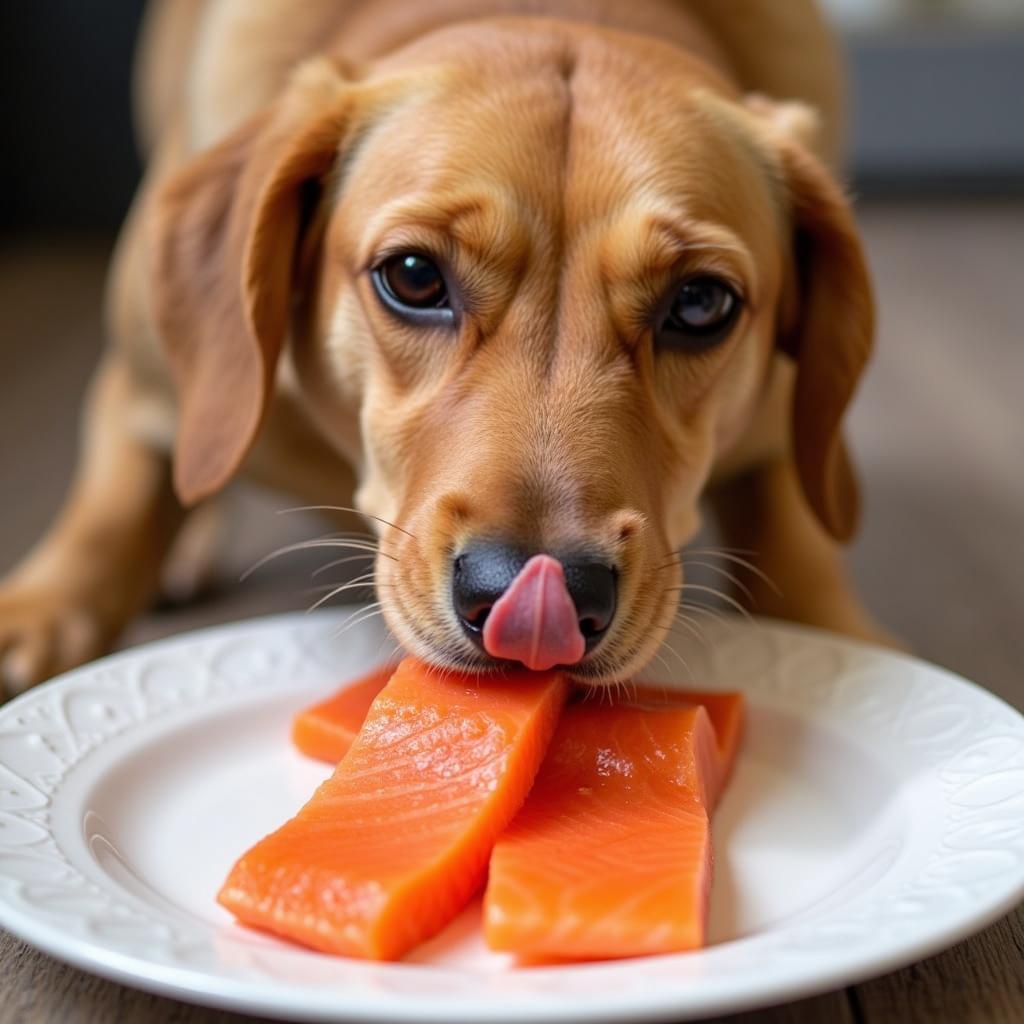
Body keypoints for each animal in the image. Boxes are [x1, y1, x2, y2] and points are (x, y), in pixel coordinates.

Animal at [0, 0, 888, 692]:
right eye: (415, 276)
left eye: (701, 303)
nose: (537, 595)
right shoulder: (144, 387)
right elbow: (114, 508)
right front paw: (34, 613)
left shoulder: (780, 442)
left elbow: (800, 549)